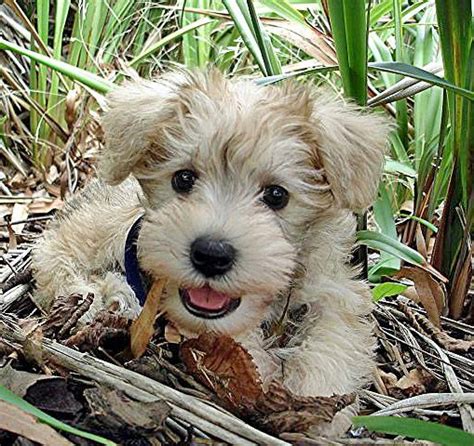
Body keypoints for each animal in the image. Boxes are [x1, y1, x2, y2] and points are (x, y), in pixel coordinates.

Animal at [32, 69, 388, 398]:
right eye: (183, 179)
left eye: (277, 195)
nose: (211, 255)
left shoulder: (332, 286)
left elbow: (335, 337)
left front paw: (316, 392)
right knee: (54, 251)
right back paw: (102, 295)